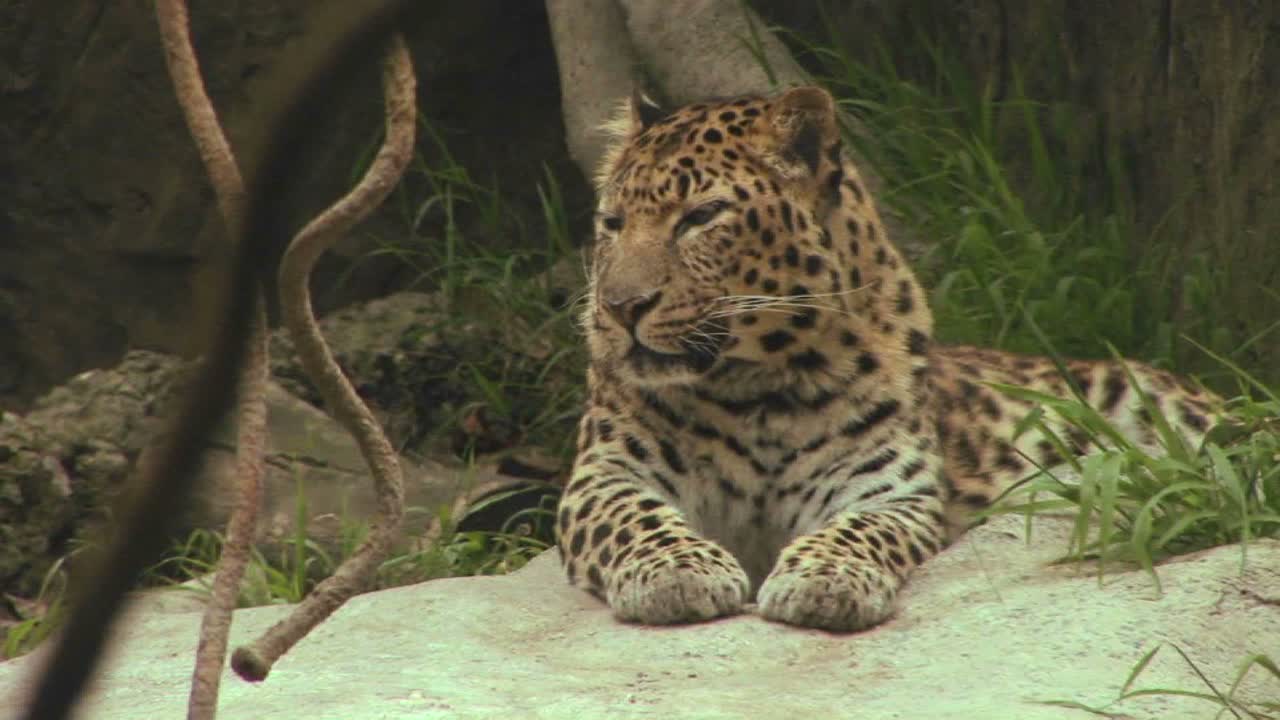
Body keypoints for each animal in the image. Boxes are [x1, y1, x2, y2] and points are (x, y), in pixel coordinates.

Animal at [555, 85, 1218, 632]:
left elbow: (860, 529)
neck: (756, 387)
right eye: (612, 222)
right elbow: (635, 515)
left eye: (700, 217)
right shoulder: (604, 473)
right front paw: (679, 572)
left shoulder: (890, 489)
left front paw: (824, 580)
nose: (620, 307)